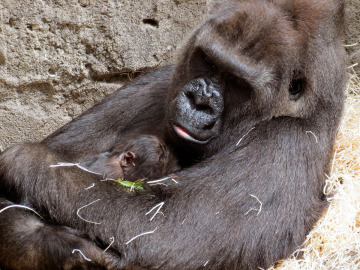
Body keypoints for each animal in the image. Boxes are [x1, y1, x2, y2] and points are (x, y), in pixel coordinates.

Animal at [0, 0, 346, 270]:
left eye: (237, 83)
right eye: (207, 60)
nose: (199, 101)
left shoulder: (288, 142)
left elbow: (168, 232)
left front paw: (24, 161)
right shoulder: (159, 81)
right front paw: (49, 242)